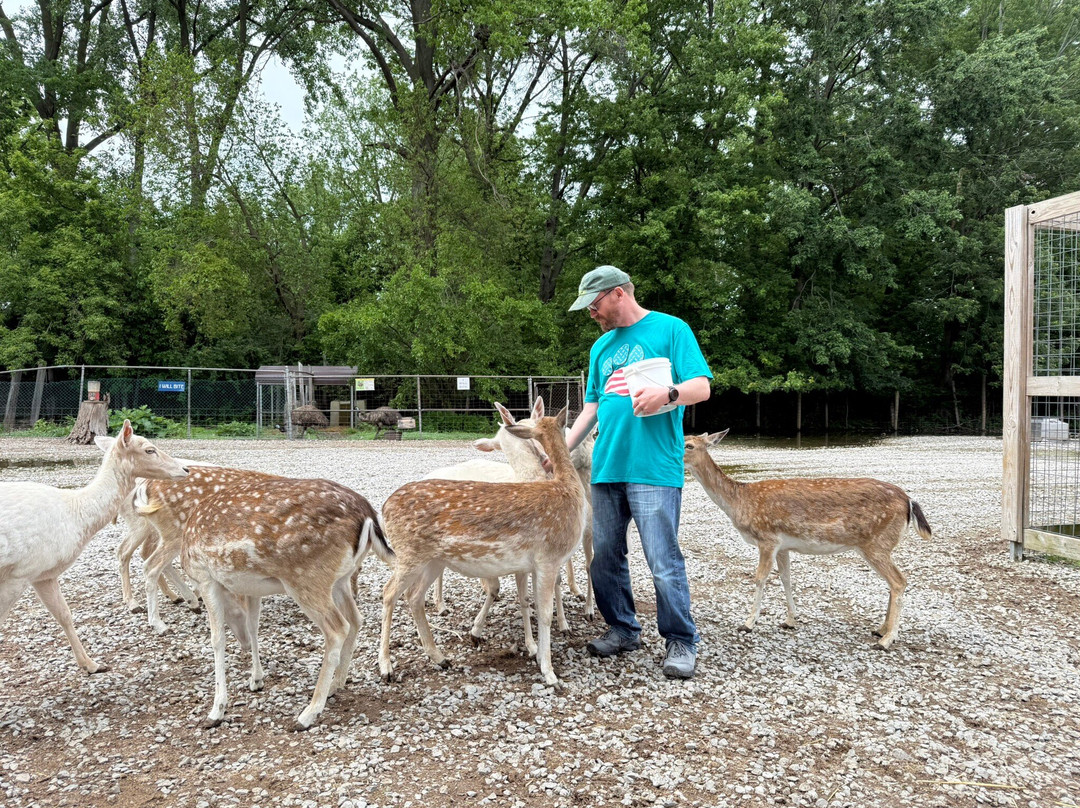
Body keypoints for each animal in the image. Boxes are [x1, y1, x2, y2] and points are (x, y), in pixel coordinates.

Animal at [0, 420, 189, 674]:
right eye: (150, 449)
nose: (185, 469)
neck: (74, 513)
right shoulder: (19, 573)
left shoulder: (43, 573)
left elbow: (64, 614)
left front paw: (92, 665)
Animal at [137, 474, 392, 730]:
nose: (241, 643)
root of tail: (368, 514)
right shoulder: (252, 588)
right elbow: (254, 627)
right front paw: (256, 679)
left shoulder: (206, 578)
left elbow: (217, 639)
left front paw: (216, 710)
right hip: (340, 578)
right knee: (356, 619)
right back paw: (335, 685)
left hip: (306, 578)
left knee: (338, 628)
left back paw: (308, 714)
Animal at [379, 404, 587, 686]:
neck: (567, 488)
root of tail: (383, 509)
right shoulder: (548, 558)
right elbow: (543, 613)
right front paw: (548, 671)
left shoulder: (534, 564)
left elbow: (531, 602)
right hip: (409, 554)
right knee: (389, 593)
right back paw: (386, 667)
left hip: (432, 560)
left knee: (414, 597)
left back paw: (440, 658)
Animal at [683, 431, 932, 650]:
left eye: (689, 445)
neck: (739, 502)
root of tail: (909, 501)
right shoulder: (783, 545)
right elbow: (786, 578)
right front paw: (790, 620)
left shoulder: (767, 538)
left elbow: (760, 578)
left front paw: (748, 623)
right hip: (878, 545)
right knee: (893, 583)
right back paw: (880, 629)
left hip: (877, 543)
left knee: (899, 581)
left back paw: (886, 640)